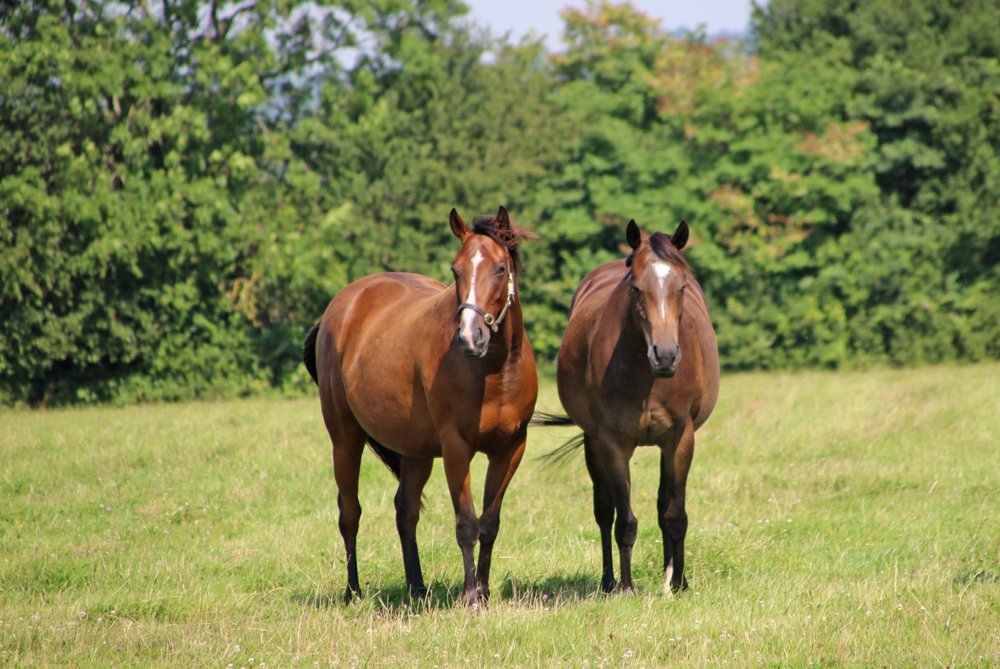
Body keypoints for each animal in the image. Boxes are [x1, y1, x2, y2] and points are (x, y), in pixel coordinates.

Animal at [303, 206, 538, 606]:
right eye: (455, 270)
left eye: (500, 268)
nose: (470, 337)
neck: (495, 371)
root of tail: (339, 308)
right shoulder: (457, 449)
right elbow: (466, 524)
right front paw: (470, 597)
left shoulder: (510, 449)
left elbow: (489, 523)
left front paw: (485, 591)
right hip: (345, 439)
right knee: (349, 513)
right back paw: (354, 591)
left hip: (416, 451)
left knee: (405, 511)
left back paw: (416, 586)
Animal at [546, 219, 719, 594]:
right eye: (637, 288)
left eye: (682, 286)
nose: (665, 355)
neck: (646, 377)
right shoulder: (612, 444)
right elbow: (623, 520)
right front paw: (626, 587)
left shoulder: (680, 439)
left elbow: (674, 515)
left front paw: (678, 584)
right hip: (592, 444)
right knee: (604, 511)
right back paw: (609, 581)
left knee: (663, 504)